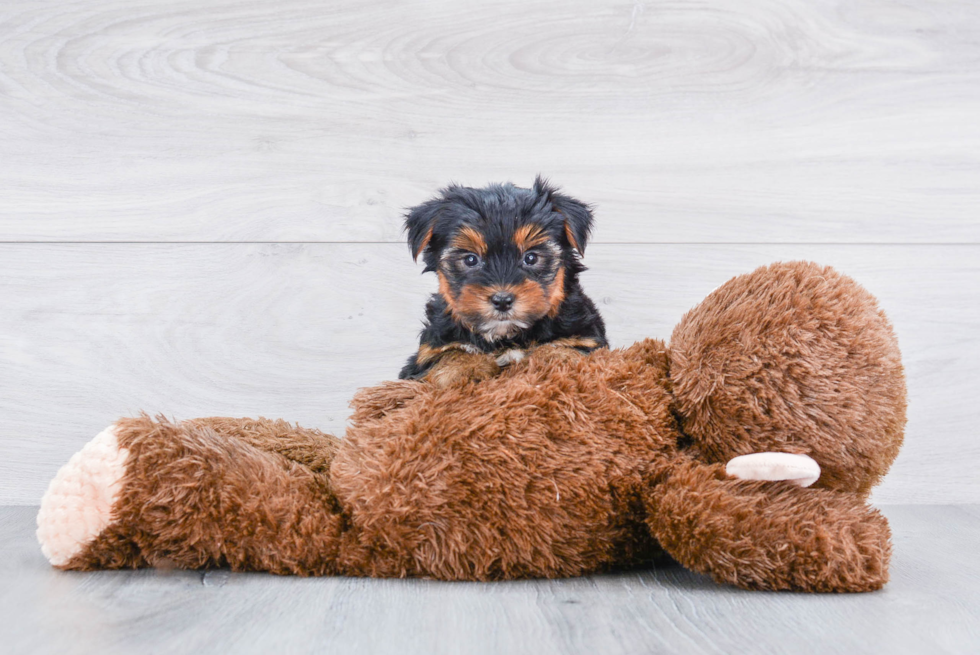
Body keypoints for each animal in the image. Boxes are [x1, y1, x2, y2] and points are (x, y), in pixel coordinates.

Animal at [398, 177, 604, 386]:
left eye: (531, 258)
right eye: (470, 260)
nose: (502, 300)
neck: (505, 335)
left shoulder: (587, 341)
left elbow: (566, 351)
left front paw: (551, 360)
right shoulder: (426, 353)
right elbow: (449, 355)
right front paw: (465, 369)